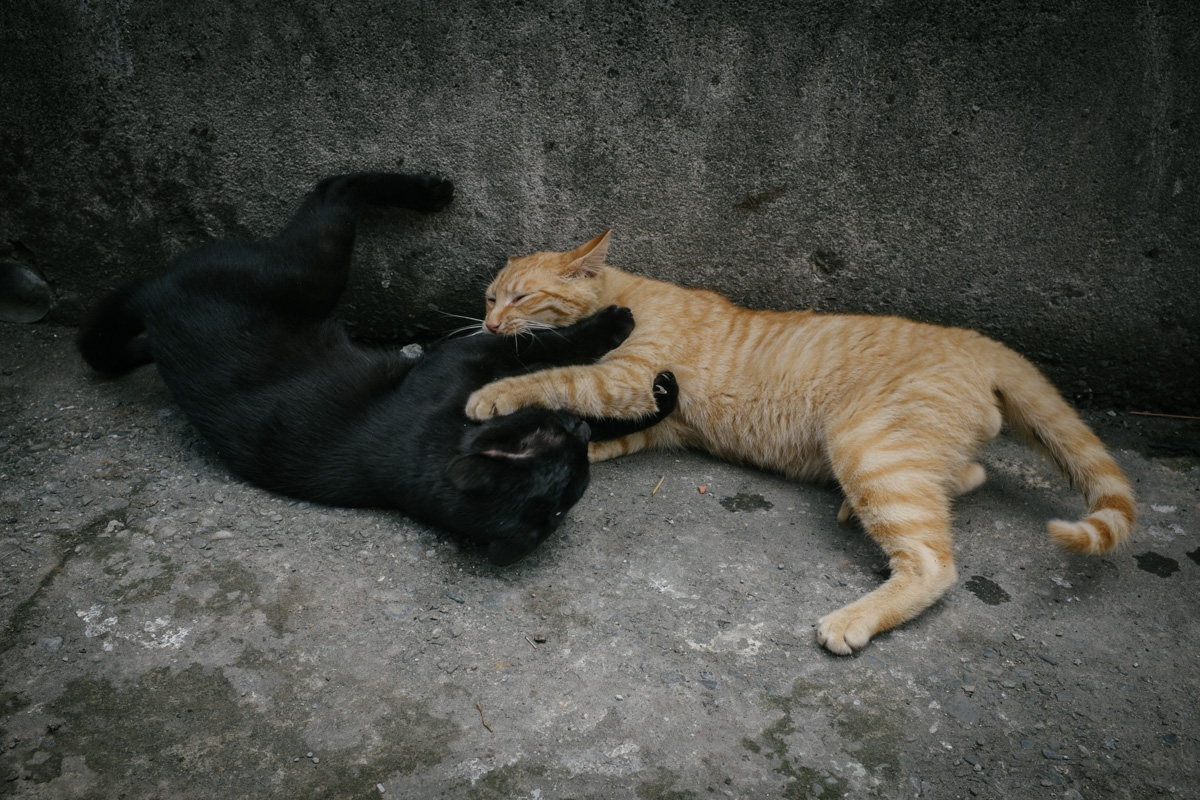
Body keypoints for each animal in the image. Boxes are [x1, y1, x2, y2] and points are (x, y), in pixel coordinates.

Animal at [77, 172, 676, 566]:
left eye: (576, 458)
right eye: (554, 438)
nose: (575, 428)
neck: (424, 458)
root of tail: (156, 295)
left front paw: (664, 396)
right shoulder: (462, 359)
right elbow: (529, 344)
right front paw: (611, 326)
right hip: (311, 269)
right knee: (333, 188)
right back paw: (430, 191)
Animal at [465, 231, 1132, 657]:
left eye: (520, 296)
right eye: (491, 297)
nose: (489, 324)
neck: (621, 297)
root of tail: (976, 340)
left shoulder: (627, 379)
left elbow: (559, 378)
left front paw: (493, 393)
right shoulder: (655, 416)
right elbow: (592, 427)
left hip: (865, 443)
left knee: (933, 561)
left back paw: (854, 617)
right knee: (966, 476)